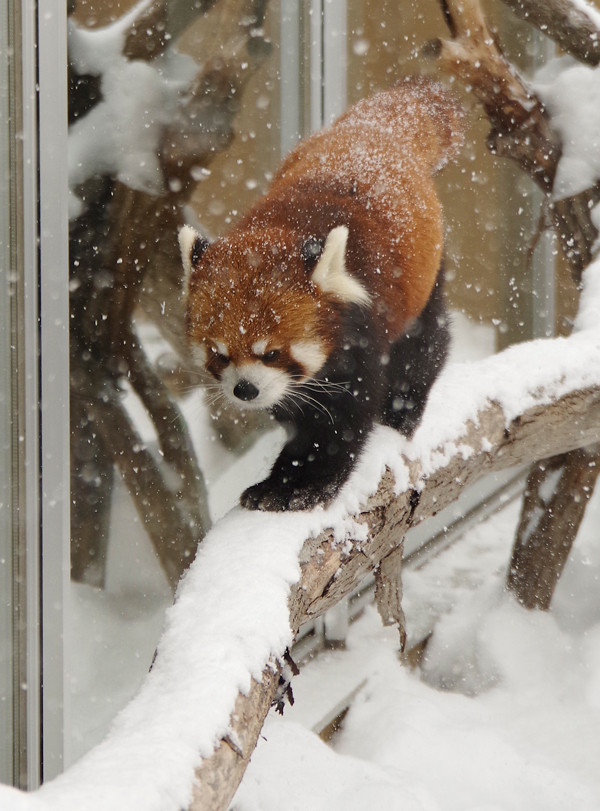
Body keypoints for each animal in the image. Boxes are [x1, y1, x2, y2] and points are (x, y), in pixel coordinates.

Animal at [178, 76, 464, 508]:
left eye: (272, 353)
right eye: (219, 354)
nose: (245, 390)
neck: (286, 225)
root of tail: (370, 128)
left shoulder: (361, 328)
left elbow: (340, 421)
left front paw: (298, 486)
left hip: (424, 275)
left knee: (424, 343)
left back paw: (402, 412)